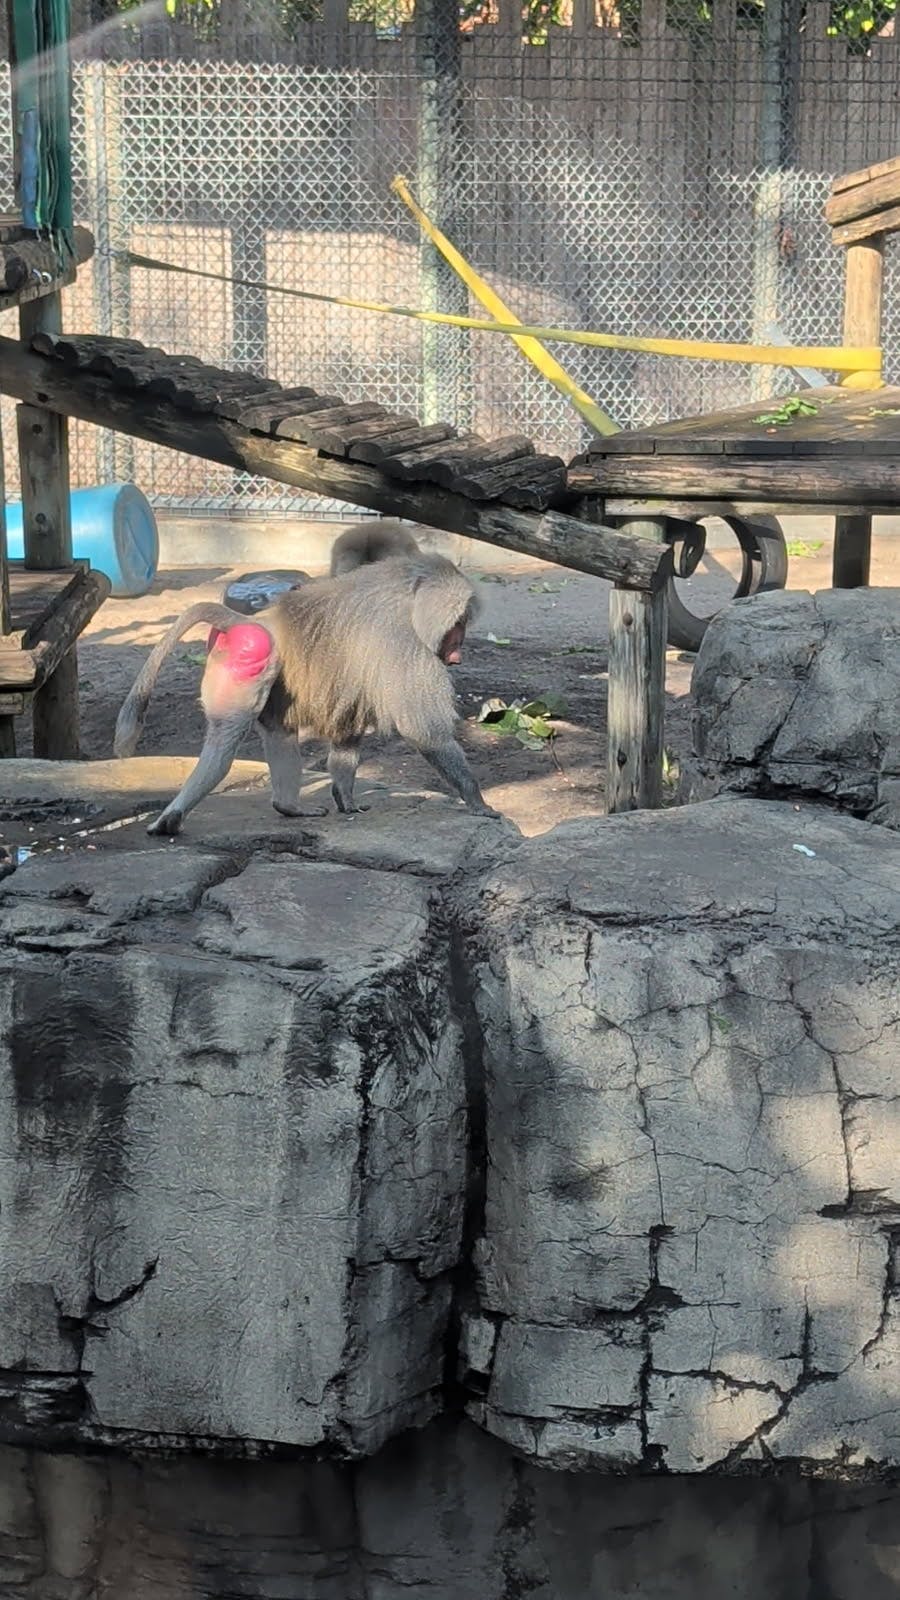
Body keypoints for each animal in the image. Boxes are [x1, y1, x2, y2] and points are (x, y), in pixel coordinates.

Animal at [114, 548, 498, 837]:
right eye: (459, 622)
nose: (457, 653)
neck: (405, 595)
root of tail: (247, 621)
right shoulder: (406, 647)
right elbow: (425, 732)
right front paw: (477, 801)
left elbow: (347, 736)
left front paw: (345, 797)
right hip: (250, 661)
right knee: (225, 738)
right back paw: (174, 815)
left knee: (279, 734)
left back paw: (289, 807)